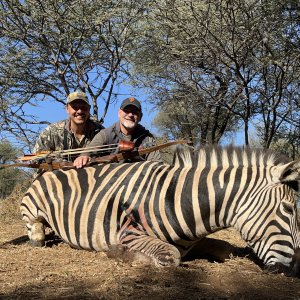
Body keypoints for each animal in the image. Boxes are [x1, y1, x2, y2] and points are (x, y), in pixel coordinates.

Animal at [20, 145, 300, 276]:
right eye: (289, 208)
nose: (296, 268)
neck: (179, 200)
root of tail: (52, 168)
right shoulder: (130, 233)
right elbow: (170, 256)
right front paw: (116, 252)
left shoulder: (195, 240)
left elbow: (226, 250)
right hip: (31, 205)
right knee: (35, 229)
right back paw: (39, 236)